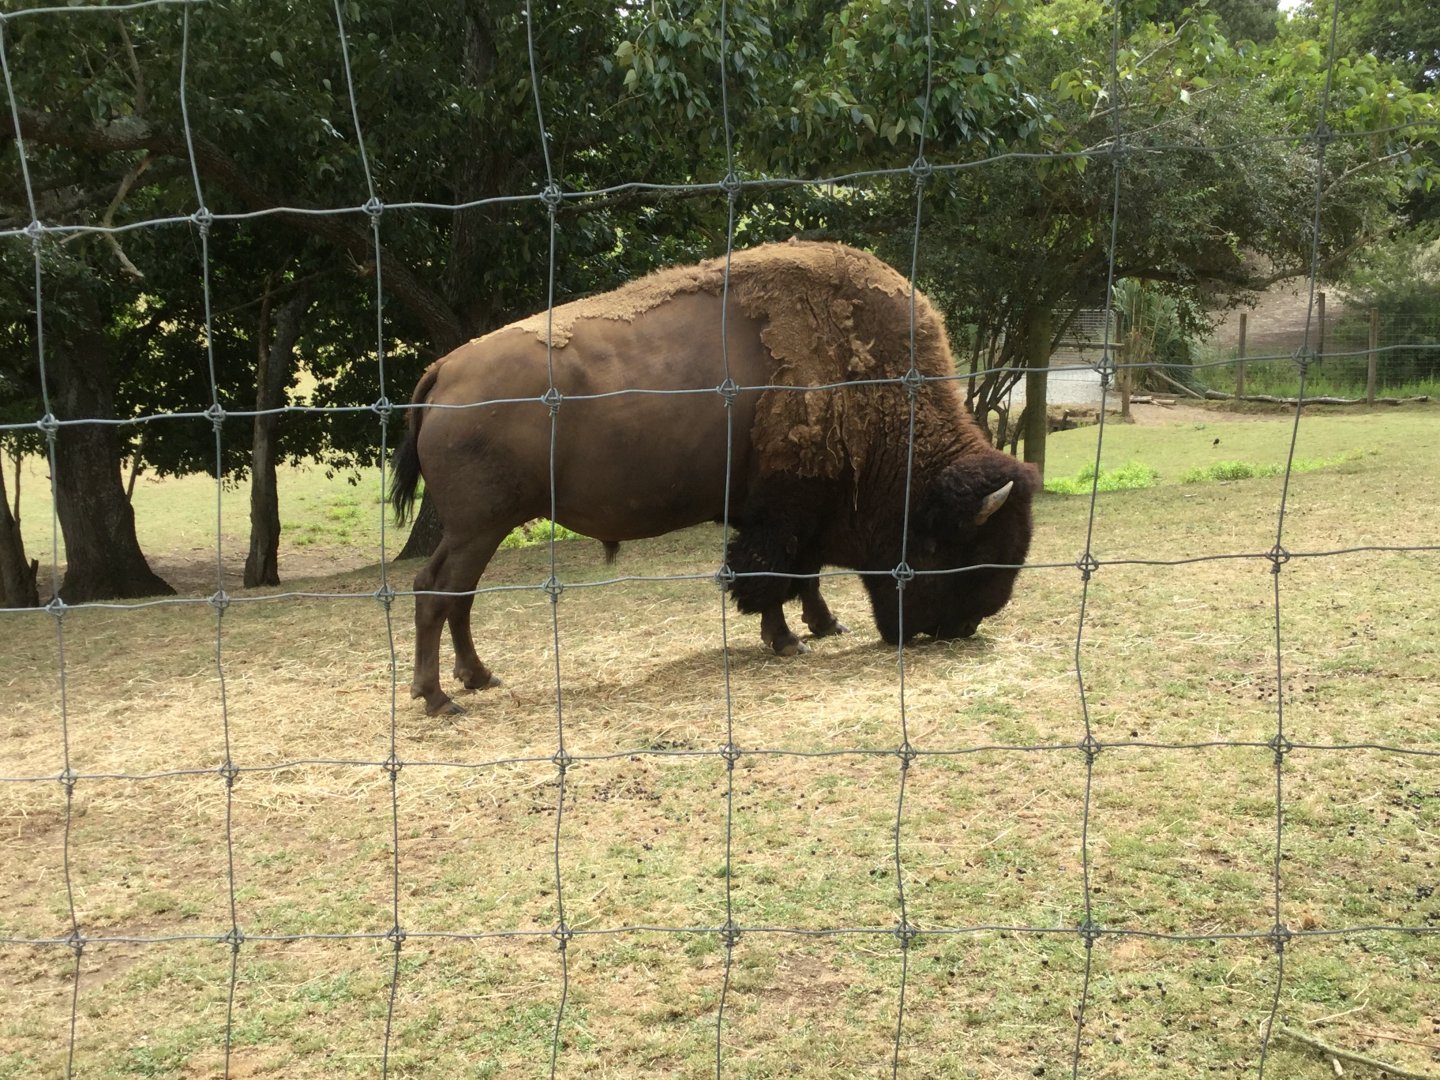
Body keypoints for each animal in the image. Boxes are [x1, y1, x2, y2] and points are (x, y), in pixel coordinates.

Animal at [392, 241, 1036, 715]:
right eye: (968, 551)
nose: (960, 627)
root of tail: (443, 370)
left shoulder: (791, 515)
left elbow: (803, 577)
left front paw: (824, 626)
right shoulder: (782, 515)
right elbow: (774, 577)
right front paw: (789, 641)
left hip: (477, 528)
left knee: (451, 593)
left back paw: (476, 679)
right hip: (479, 526)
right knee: (438, 590)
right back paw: (440, 699)